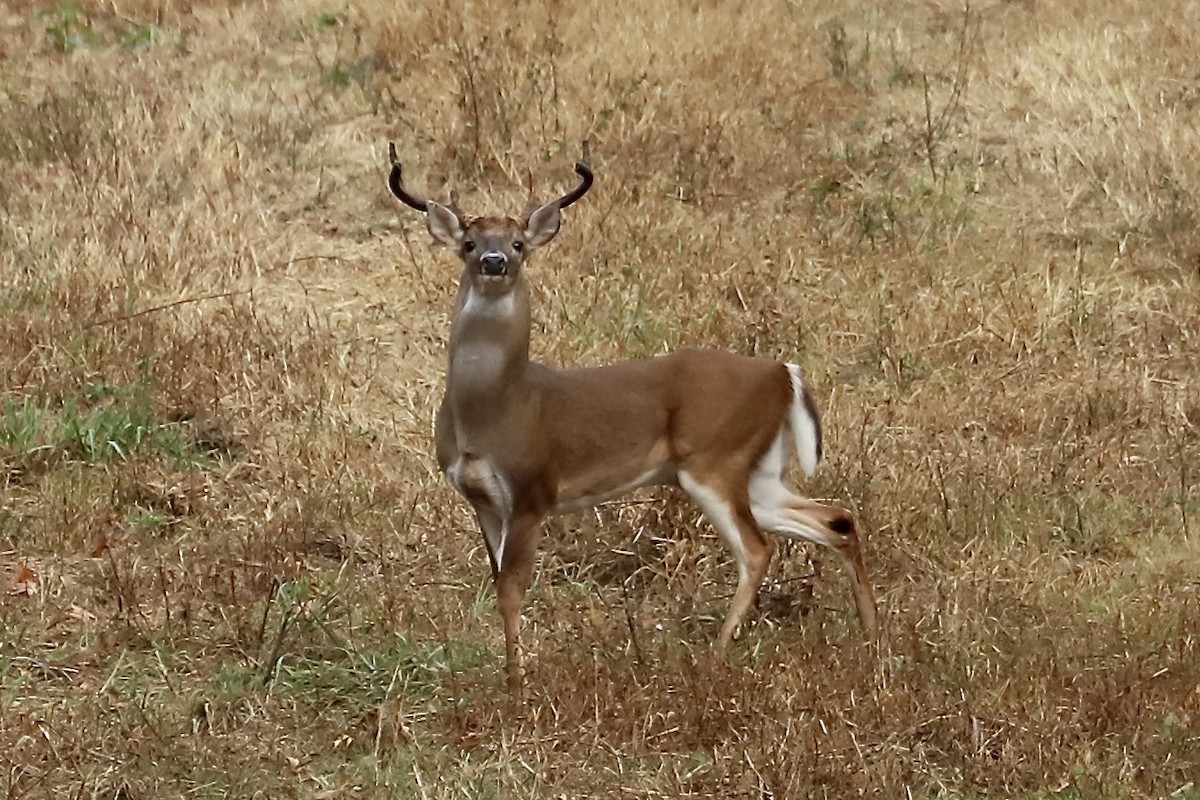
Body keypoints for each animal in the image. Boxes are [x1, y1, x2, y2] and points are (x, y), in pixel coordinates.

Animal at [387, 142, 877, 694]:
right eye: (469, 243)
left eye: (518, 243)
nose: (494, 262)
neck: (498, 409)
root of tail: (783, 372)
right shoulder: (481, 500)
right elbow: (498, 584)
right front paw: (510, 677)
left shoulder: (534, 490)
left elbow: (513, 587)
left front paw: (517, 686)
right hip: (759, 471)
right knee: (836, 519)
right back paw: (871, 634)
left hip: (714, 459)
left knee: (757, 549)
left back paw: (715, 657)